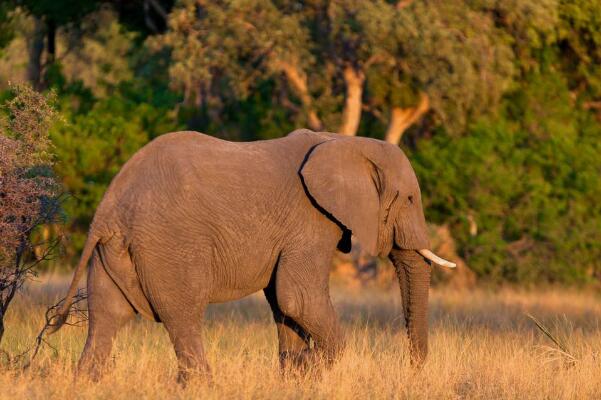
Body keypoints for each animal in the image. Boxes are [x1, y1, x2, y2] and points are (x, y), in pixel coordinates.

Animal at [51, 129, 454, 382]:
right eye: (409, 199)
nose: (413, 370)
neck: (343, 142)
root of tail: (107, 209)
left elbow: (284, 303)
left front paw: (294, 374)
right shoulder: (310, 221)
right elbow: (298, 297)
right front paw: (307, 366)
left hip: (113, 252)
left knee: (107, 315)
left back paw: (87, 383)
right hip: (169, 247)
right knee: (184, 315)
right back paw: (201, 386)